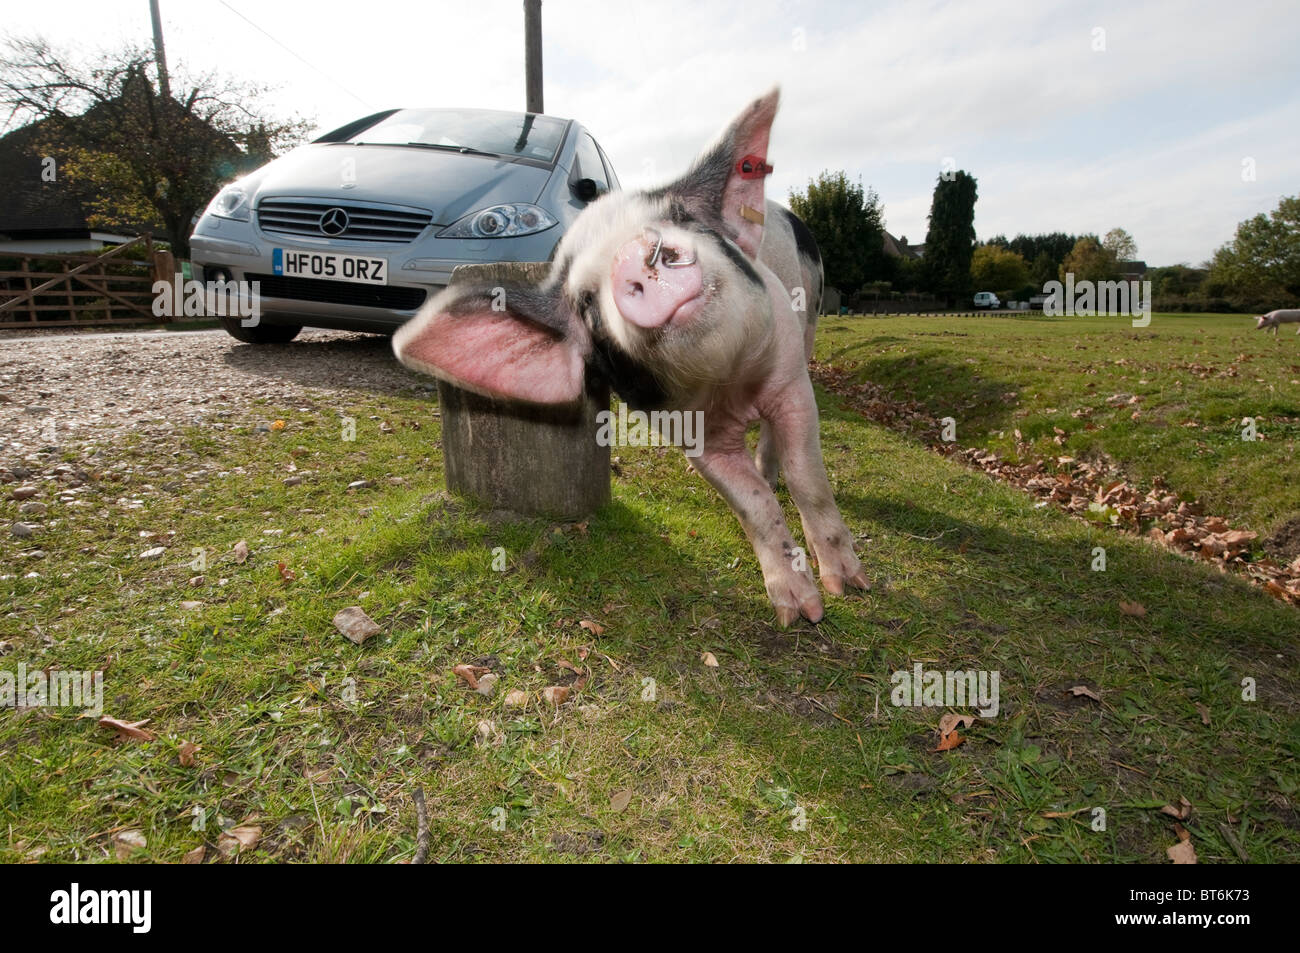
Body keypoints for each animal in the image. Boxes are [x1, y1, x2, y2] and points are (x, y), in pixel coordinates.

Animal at [390, 89, 868, 624]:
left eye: (682, 218)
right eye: (586, 304)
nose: (634, 254)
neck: (731, 382)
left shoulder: (790, 379)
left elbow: (809, 478)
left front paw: (849, 589)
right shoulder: (690, 434)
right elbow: (753, 505)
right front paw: (797, 613)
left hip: (808, 326)